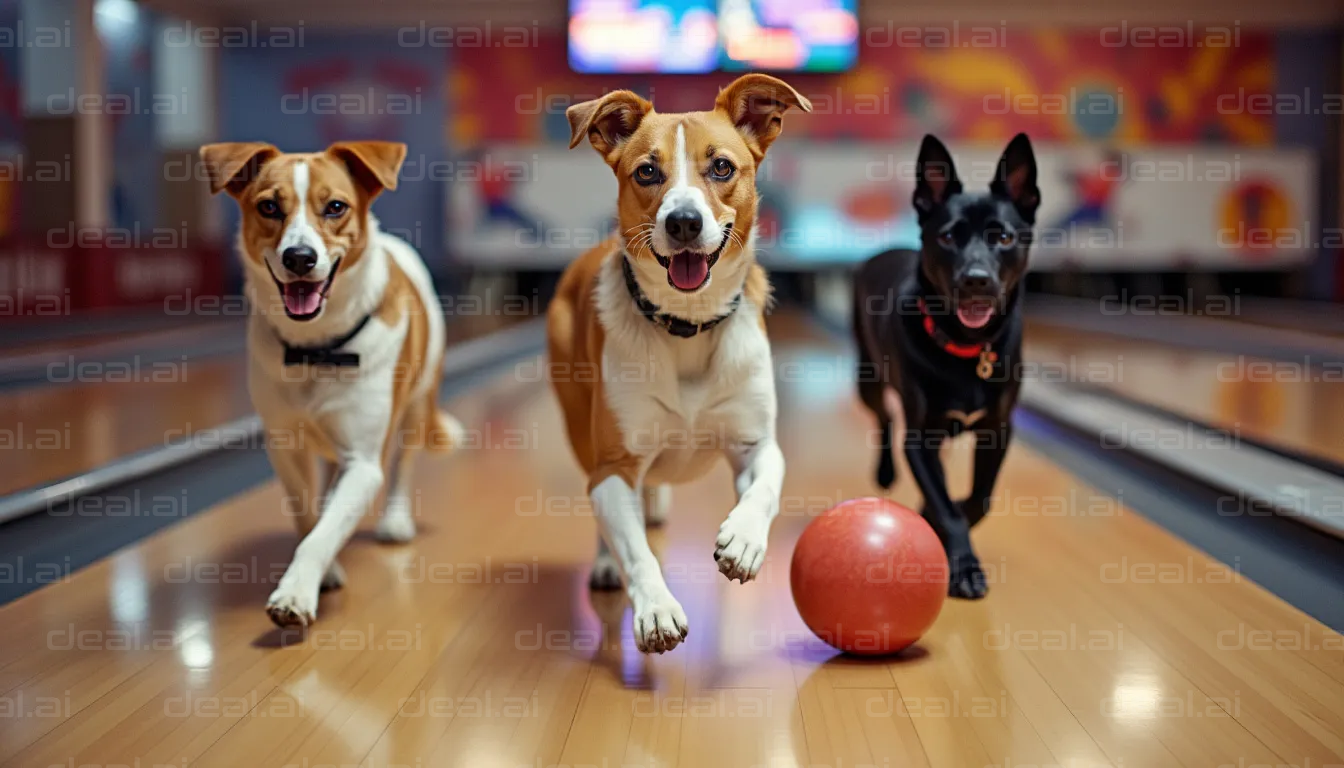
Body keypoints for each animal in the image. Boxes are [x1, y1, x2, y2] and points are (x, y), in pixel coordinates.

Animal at [198, 141, 462, 626]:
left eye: (335, 206)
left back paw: (396, 521)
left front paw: (296, 592)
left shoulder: (363, 461)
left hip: (417, 403)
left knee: (403, 461)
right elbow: (308, 517)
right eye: (268, 206)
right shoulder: (285, 445)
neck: (315, 348)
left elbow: (324, 531)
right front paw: (325, 569)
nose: (299, 258)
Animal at [545, 73, 806, 656]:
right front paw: (656, 607)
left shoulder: (755, 442)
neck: (687, 324)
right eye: (647, 171)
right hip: (581, 429)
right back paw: (606, 563)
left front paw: (745, 540)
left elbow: (767, 485)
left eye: (722, 167)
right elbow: (636, 548)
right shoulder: (615, 462)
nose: (683, 221)